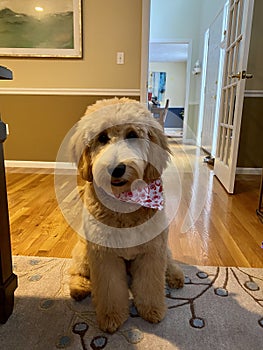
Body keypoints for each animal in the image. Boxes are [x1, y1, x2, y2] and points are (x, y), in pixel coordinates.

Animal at [69, 98, 185, 334]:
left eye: (132, 134)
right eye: (102, 138)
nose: (116, 169)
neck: (125, 199)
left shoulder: (152, 250)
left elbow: (151, 284)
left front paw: (152, 310)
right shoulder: (104, 254)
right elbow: (110, 290)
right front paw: (111, 317)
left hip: (163, 246)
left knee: (169, 260)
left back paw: (175, 275)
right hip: (84, 252)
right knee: (76, 271)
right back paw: (79, 288)